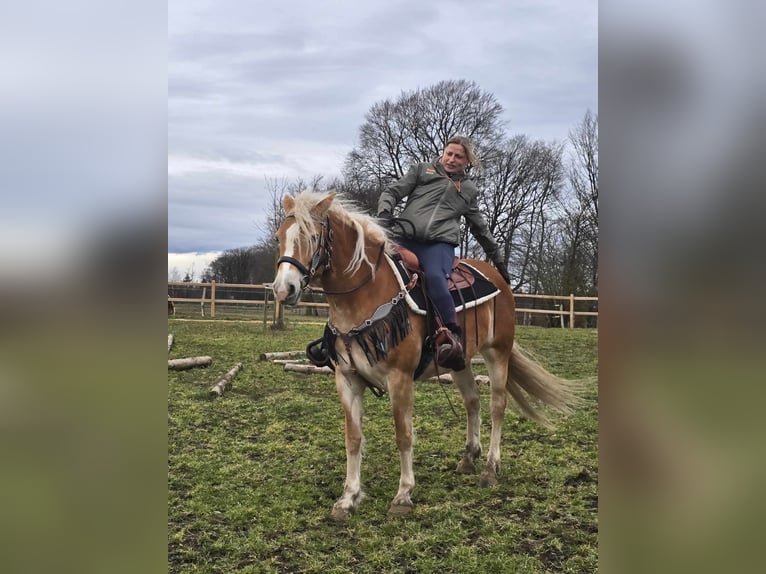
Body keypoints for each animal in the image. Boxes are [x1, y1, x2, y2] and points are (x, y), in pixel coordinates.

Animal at [272, 190, 580, 520]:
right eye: (279, 236)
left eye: (312, 236)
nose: (283, 289)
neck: (366, 297)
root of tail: (498, 277)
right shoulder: (347, 379)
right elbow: (353, 439)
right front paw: (348, 498)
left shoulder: (400, 379)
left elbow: (403, 434)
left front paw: (403, 495)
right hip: (459, 361)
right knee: (473, 401)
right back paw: (469, 458)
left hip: (498, 352)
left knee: (497, 406)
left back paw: (490, 468)